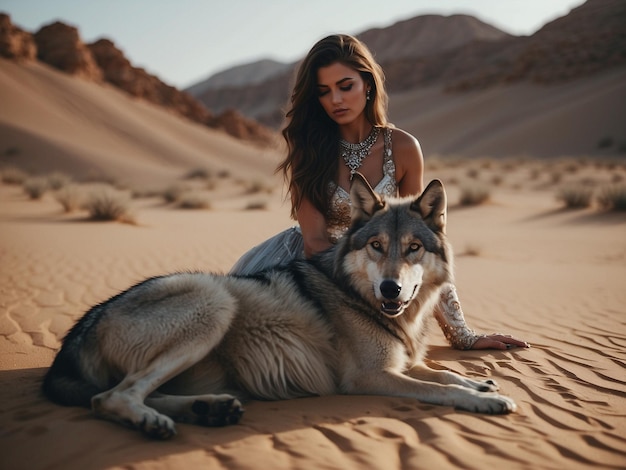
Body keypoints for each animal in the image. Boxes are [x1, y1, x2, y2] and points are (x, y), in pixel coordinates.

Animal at [41, 174, 516, 438]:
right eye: (377, 246)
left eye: (414, 248)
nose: (390, 290)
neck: (356, 295)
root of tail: (76, 332)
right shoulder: (369, 376)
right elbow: (439, 389)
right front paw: (485, 401)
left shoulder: (403, 362)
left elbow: (444, 373)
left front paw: (481, 384)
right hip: (214, 301)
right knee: (109, 397)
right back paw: (155, 423)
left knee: (134, 392)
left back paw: (209, 410)